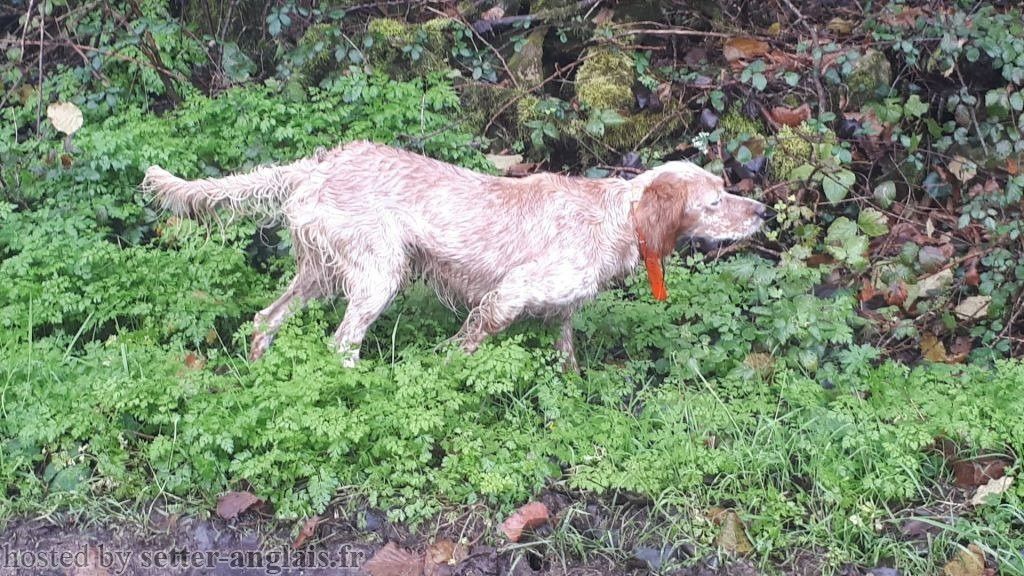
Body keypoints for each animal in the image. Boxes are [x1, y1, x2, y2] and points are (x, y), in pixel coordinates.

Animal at [142, 141, 770, 368]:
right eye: (715, 202)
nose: (763, 211)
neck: (614, 217)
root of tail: (320, 163)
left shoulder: (563, 310)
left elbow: (566, 355)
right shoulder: (505, 297)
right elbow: (463, 349)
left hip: (320, 273)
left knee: (264, 318)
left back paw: (258, 368)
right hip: (379, 273)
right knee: (342, 342)